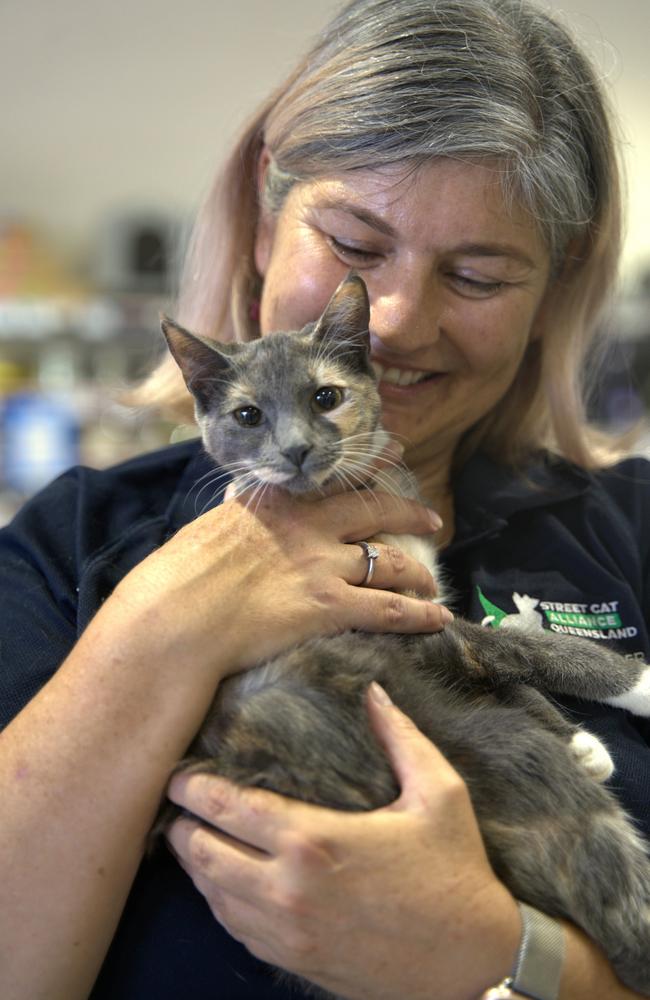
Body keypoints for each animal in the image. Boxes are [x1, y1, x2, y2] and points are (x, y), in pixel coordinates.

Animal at [157, 276, 648, 1000]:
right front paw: (635, 688)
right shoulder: (407, 620)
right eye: (248, 416)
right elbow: (531, 650)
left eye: (325, 397)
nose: (295, 450)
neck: (353, 496)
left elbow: (502, 667)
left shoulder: (429, 611)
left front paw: (582, 742)